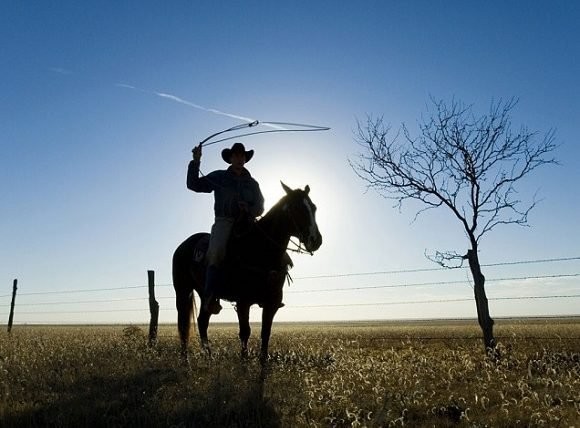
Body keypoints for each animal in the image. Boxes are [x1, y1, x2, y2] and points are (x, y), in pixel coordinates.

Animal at [172, 181, 322, 362]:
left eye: (313, 207)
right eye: (295, 208)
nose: (316, 240)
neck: (259, 249)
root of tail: (183, 245)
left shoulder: (272, 303)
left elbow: (265, 334)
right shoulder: (243, 302)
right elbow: (245, 333)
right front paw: (244, 363)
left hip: (204, 294)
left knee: (202, 321)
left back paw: (209, 357)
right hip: (183, 291)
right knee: (183, 325)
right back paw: (185, 360)